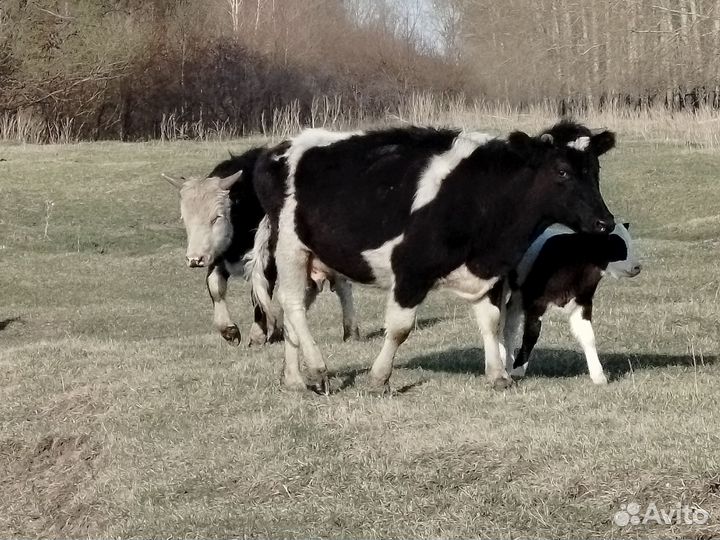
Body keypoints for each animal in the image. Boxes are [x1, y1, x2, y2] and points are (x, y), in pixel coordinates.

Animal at [162, 147, 360, 346]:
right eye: (185, 218)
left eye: (216, 217)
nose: (194, 259)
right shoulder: (220, 256)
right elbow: (215, 286)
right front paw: (229, 330)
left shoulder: (267, 259)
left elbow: (258, 293)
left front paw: (257, 335)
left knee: (341, 286)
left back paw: (350, 332)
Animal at [251, 121, 617, 394]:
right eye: (562, 171)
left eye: (595, 169)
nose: (605, 222)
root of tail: (277, 150)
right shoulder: (410, 272)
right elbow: (399, 329)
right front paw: (379, 379)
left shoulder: (490, 272)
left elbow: (491, 322)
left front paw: (498, 375)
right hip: (290, 247)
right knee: (294, 307)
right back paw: (316, 370)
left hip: (313, 259)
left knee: (292, 313)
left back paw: (294, 379)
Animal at [503, 222, 641, 384]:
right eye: (617, 244)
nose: (637, 267)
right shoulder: (536, 304)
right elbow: (531, 335)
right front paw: (518, 371)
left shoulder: (583, 303)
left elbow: (588, 337)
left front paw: (598, 376)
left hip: (518, 295)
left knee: (509, 324)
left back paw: (508, 363)